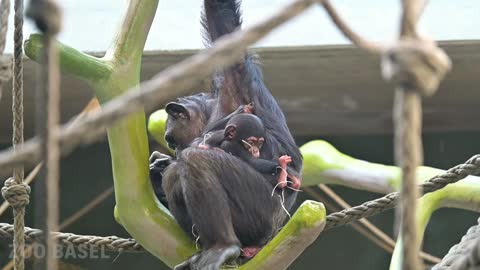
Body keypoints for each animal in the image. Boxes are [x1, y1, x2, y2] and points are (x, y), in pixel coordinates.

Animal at [148, 0, 302, 268]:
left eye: (171, 140)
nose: (175, 150)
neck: (213, 110)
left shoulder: (235, 80)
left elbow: (224, 22)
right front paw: (157, 167)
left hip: (260, 212)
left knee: (197, 161)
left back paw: (223, 246)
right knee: (177, 174)